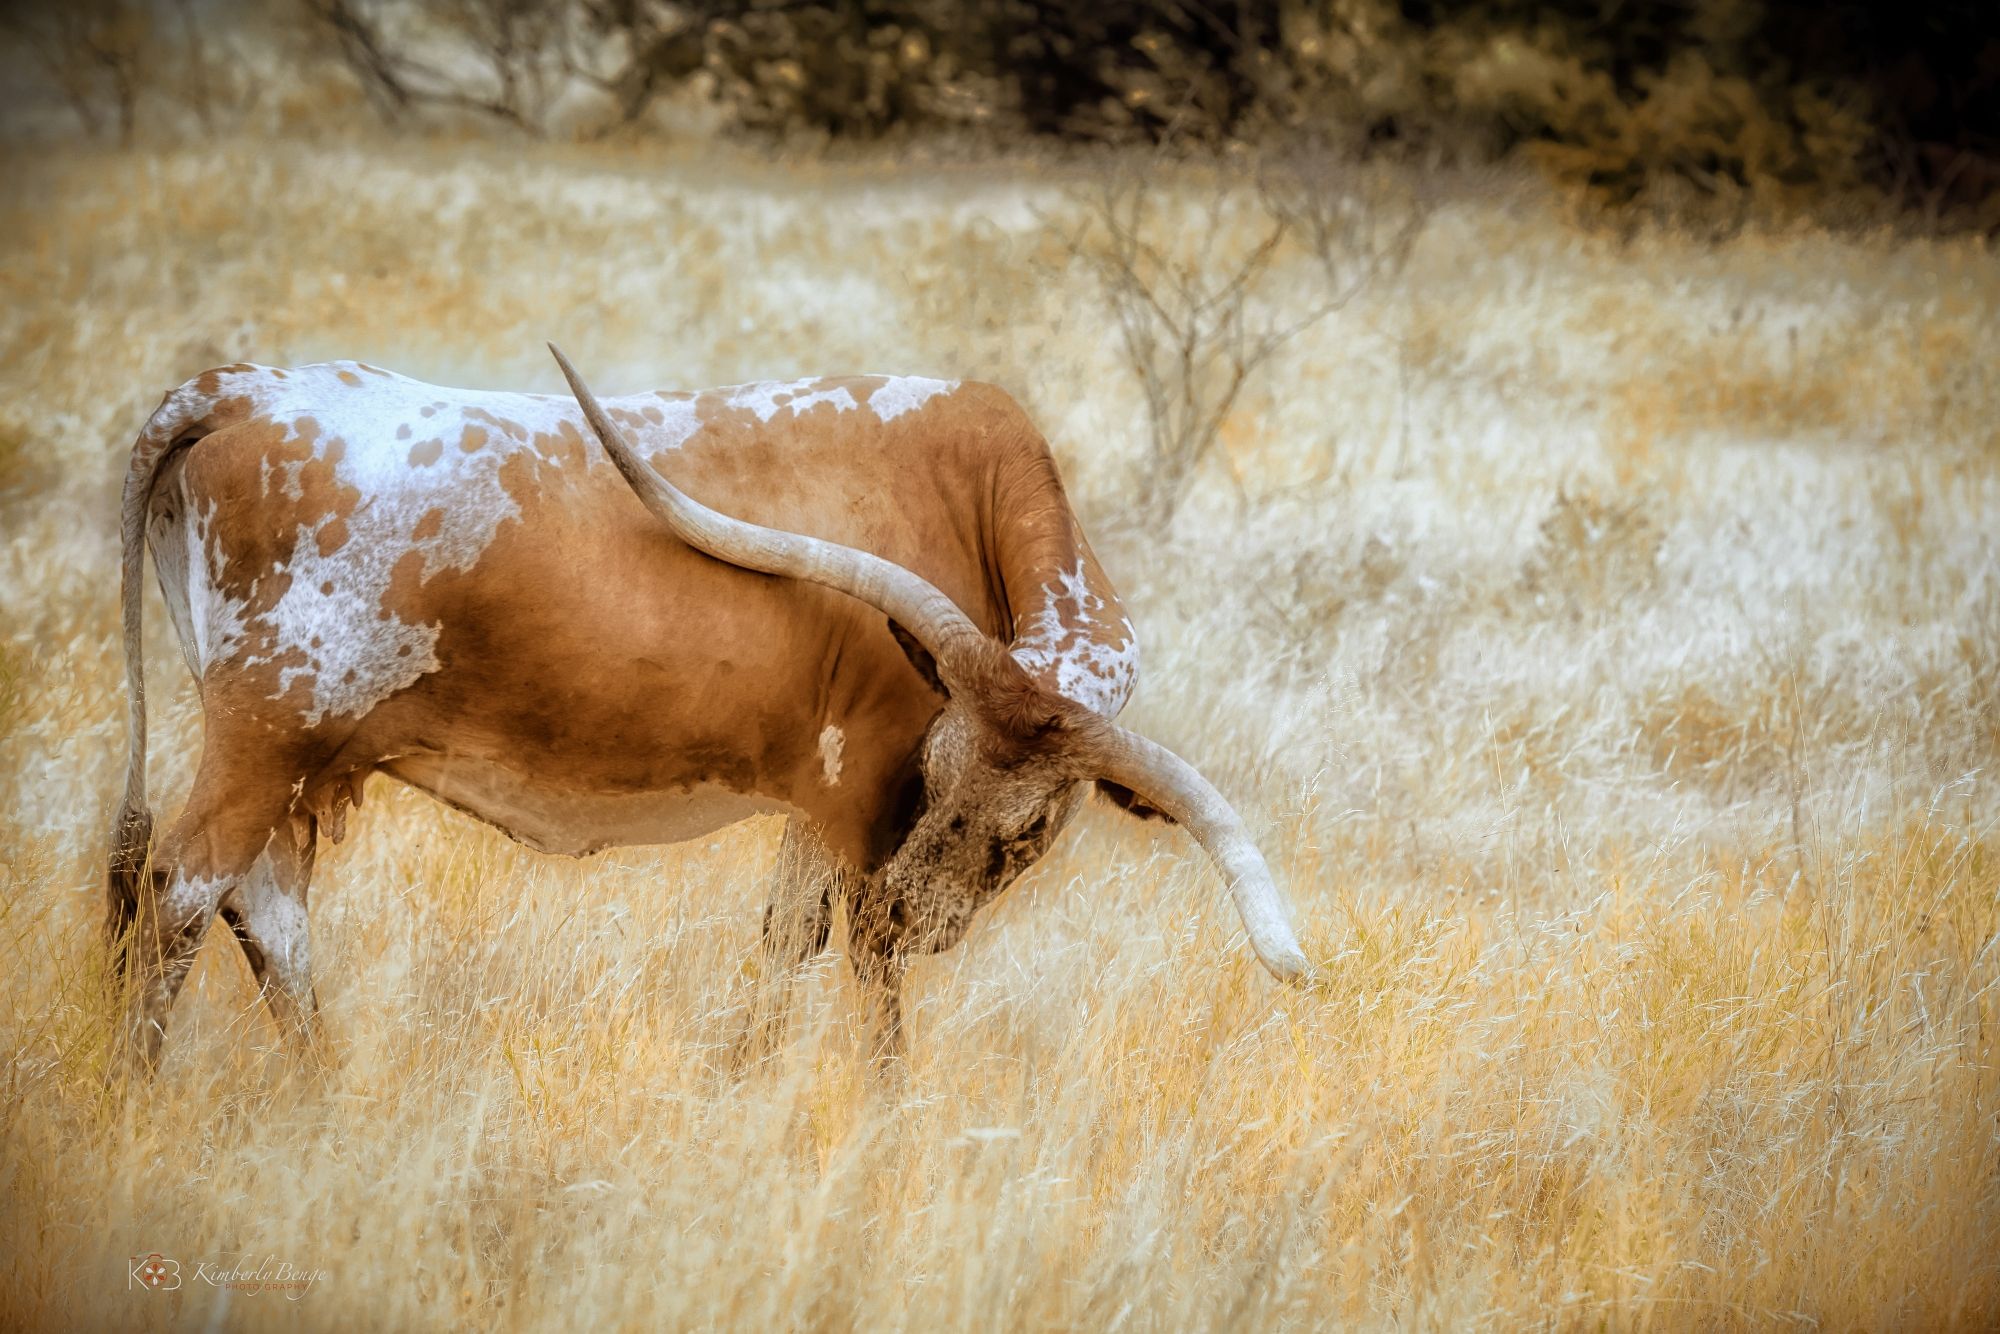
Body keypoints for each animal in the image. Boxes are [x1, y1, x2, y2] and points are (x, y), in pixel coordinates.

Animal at [105, 348, 1312, 1072]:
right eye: (934, 776)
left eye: (1028, 830)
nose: (913, 919)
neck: (967, 500)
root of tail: (246, 389)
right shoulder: (857, 799)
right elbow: (861, 980)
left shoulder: (822, 809)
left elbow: (786, 944)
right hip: (268, 734)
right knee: (184, 890)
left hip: (289, 758)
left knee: (267, 909)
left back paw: (319, 1089)